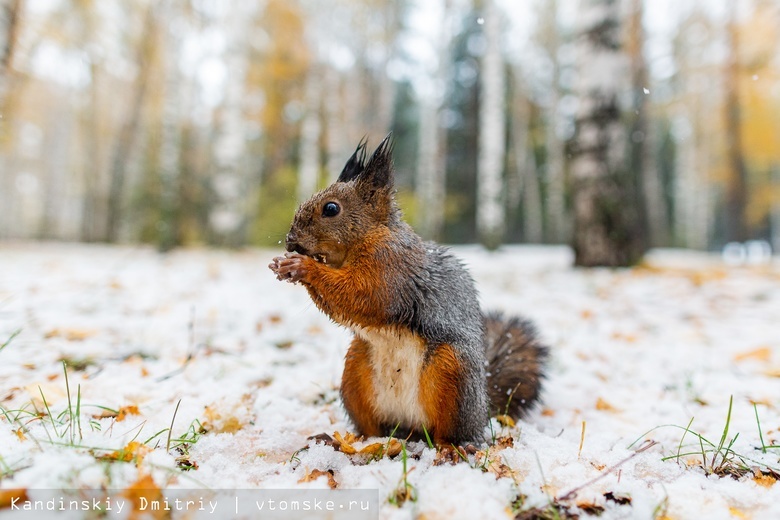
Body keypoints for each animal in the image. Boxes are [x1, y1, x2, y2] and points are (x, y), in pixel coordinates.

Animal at [268, 134, 548, 442]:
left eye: (331, 208)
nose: (290, 240)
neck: (367, 237)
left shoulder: (390, 268)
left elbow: (362, 296)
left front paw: (302, 266)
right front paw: (284, 265)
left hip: (452, 370)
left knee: (450, 432)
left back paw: (450, 448)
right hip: (355, 369)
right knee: (373, 429)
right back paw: (348, 441)